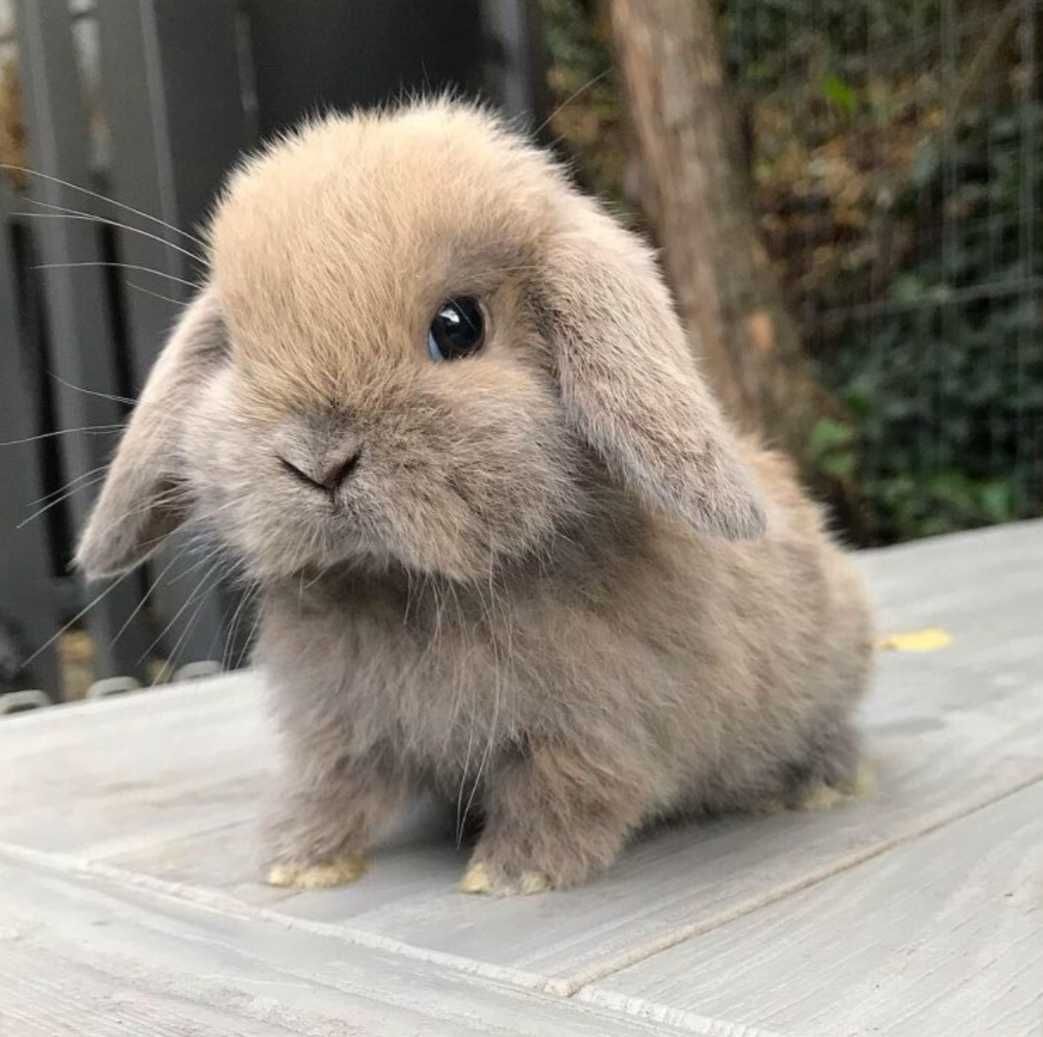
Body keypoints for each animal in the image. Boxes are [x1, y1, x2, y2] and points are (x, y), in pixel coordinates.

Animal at [75, 97, 871, 893]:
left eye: (457, 327)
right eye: (237, 351)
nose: (318, 461)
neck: (405, 587)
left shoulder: (595, 727)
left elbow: (568, 788)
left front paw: (513, 874)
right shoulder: (339, 727)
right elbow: (330, 785)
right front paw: (299, 862)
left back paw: (816, 788)